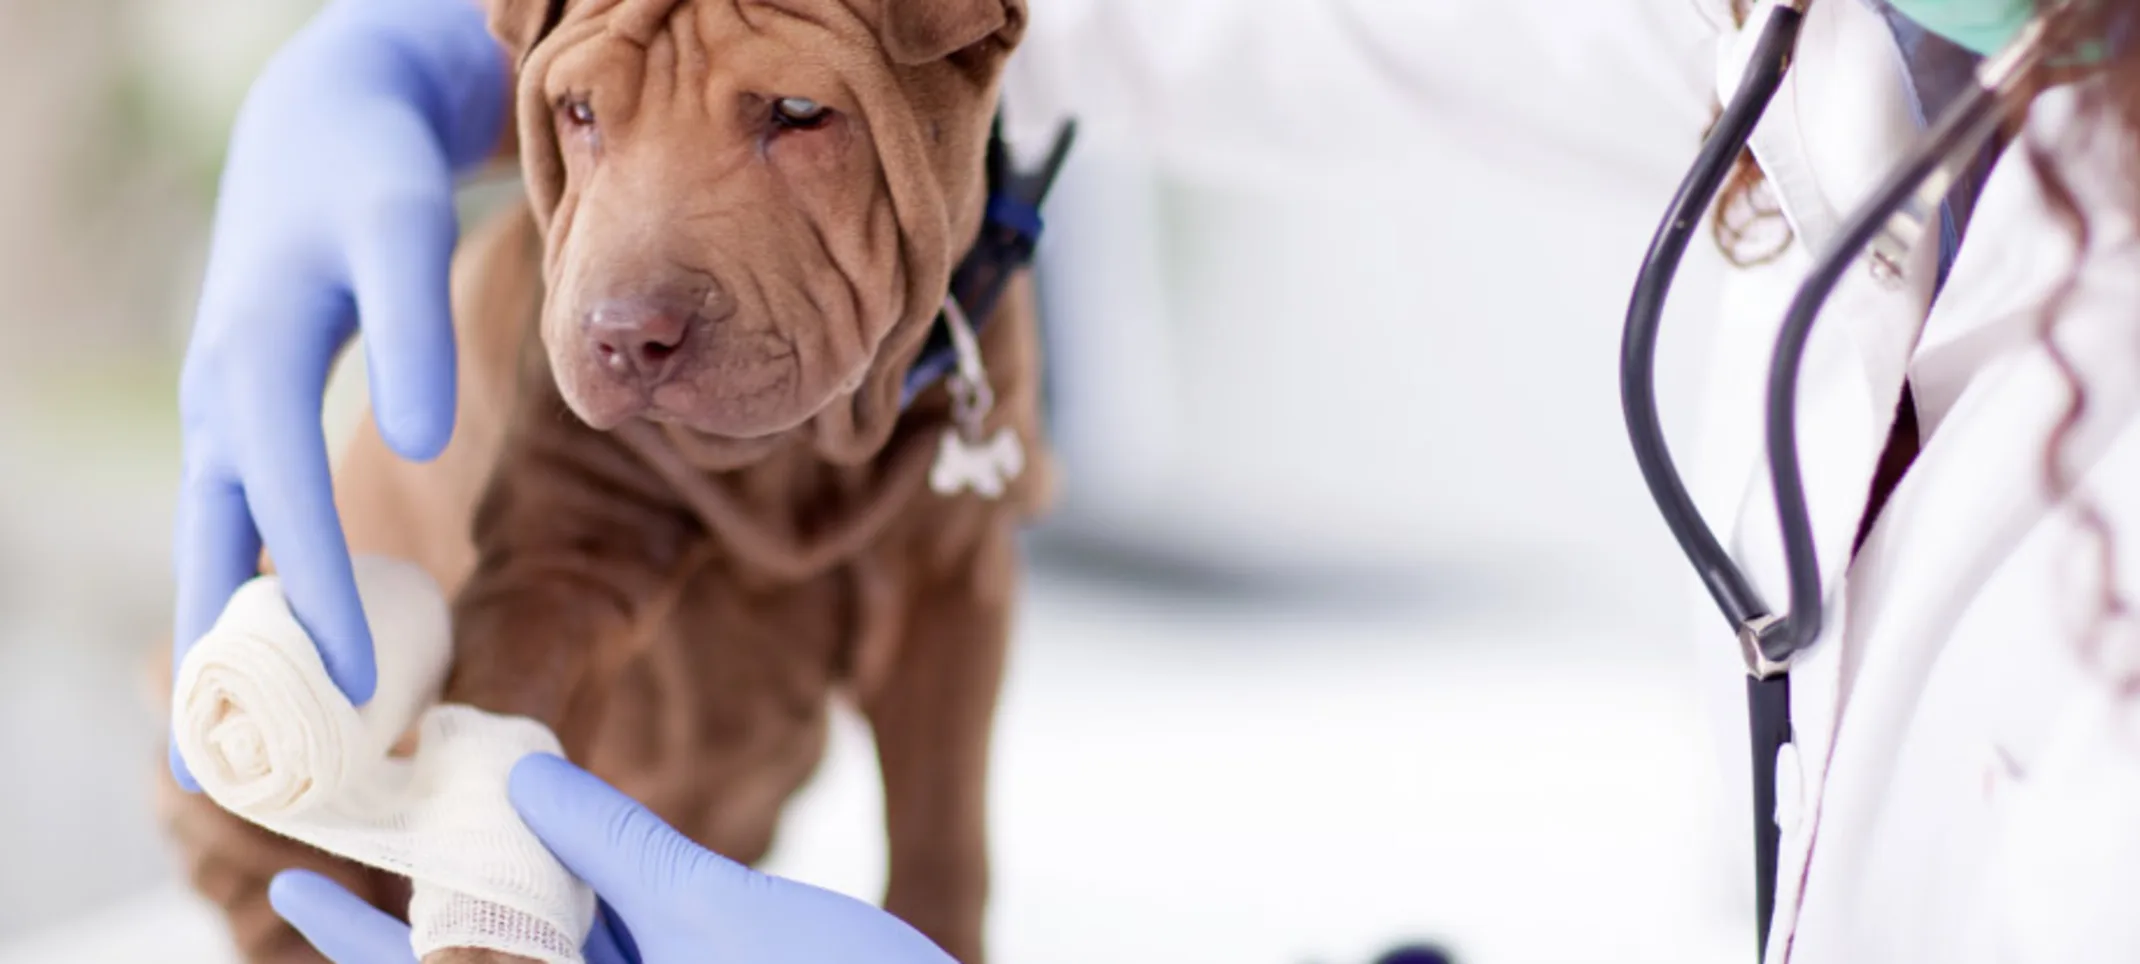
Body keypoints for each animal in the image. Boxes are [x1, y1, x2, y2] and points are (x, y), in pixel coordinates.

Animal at [156, 1, 1044, 964]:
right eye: (579, 112)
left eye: (802, 112)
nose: (623, 334)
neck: (794, 462)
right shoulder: (556, 559)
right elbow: (503, 751)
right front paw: (489, 933)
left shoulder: (952, 583)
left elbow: (940, 818)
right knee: (269, 885)